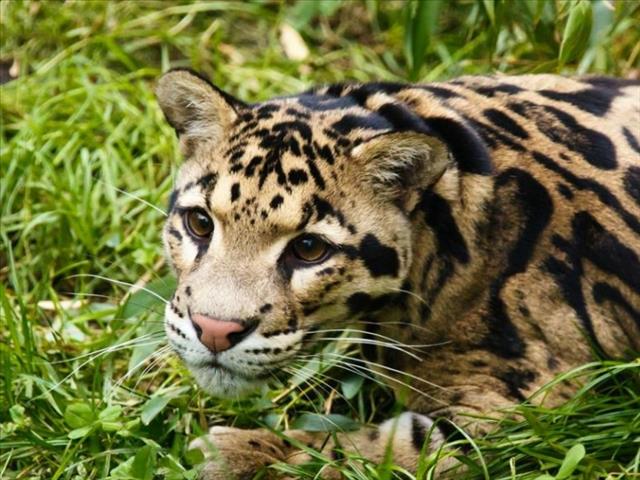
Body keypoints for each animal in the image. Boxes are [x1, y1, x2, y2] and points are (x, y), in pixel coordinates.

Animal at [155, 69, 640, 479]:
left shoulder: (532, 401)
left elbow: (375, 449)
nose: (214, 330)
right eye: (200, 223)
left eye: (309, 249)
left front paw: (246, 455)